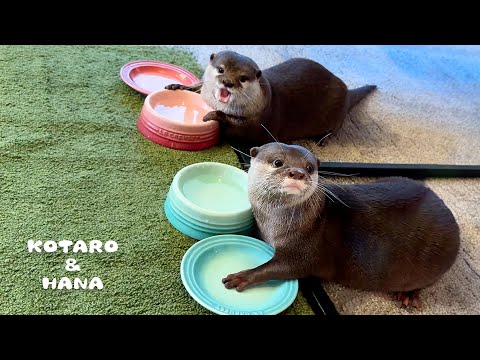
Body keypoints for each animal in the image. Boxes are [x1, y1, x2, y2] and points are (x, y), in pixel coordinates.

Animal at [221, 143, 462, 310]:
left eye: (309, 167)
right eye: (278, 162)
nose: (298, 172)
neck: (274, 224)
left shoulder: (305, 250)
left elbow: (285, 267)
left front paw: (242, 277)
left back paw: (409, 296)